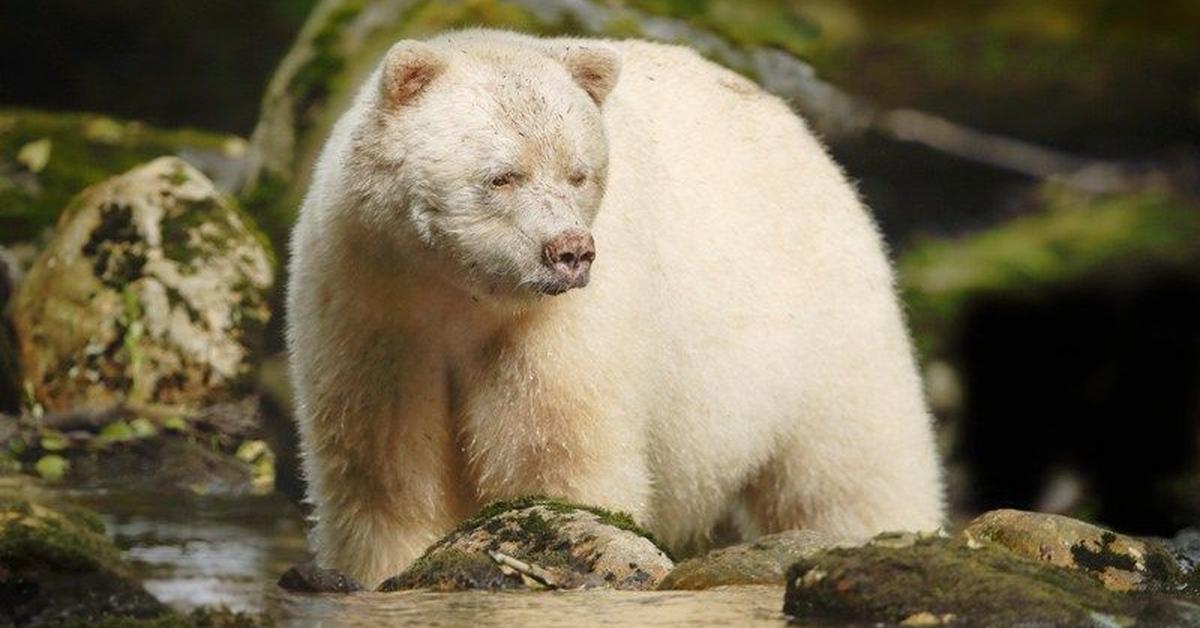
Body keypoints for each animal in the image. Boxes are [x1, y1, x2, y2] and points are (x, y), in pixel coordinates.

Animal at [288, 29, 945, 590]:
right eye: (502, 176)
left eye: (579, 173)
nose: (570, 252)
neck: (459, 292)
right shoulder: (372, 308)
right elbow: (384, 472)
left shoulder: (559, 326)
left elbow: (559, 454)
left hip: (822, 317)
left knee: (856, 465)